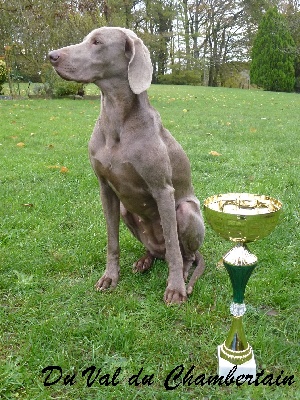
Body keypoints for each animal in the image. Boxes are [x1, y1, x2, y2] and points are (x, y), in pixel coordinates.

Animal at [49, 26, 205, 304]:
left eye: (97, 42)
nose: (51, 55)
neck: (117, 120)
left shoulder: (163, 190)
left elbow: (174, 248)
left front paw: (175, 289)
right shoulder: (105, 188)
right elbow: (112, 241)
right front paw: (110, 277)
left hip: (186, 211)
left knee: (182, 254)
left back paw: (183, 276)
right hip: (126, 211)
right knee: (157, 251)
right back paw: (144, 261)